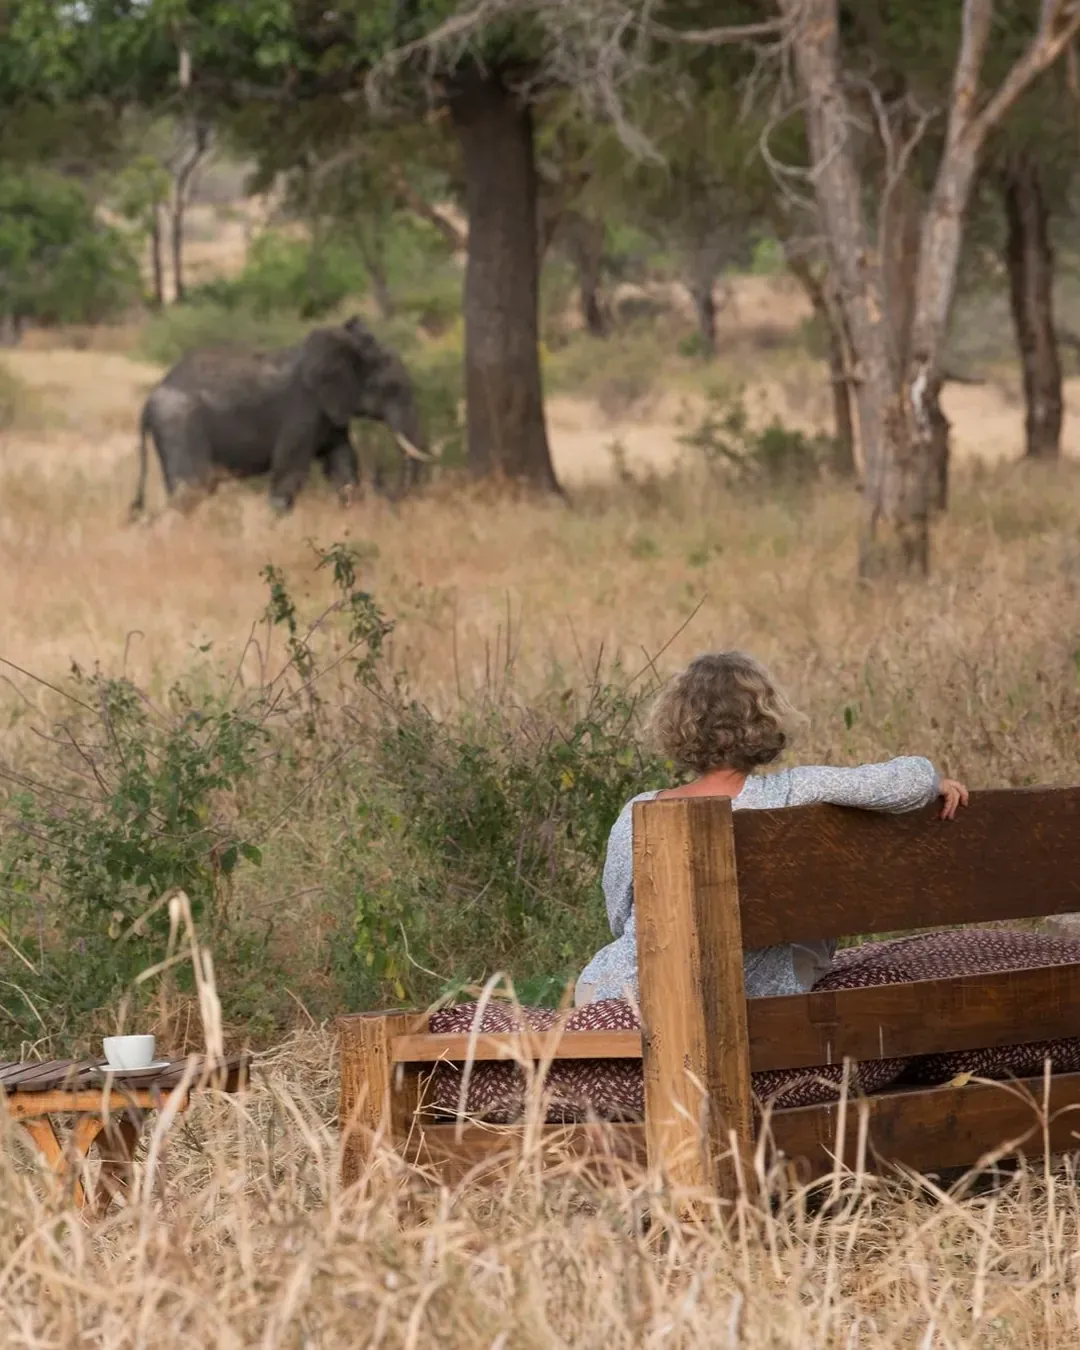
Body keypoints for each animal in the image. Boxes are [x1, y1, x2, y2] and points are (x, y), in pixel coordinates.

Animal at [130, 316, 434, 516]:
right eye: (393, 388)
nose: (387, 492)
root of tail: (148, 401)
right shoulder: (301, 410)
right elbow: (290, 473)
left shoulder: (331, 413)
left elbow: (341, 464)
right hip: (178, 426)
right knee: (191, 490)